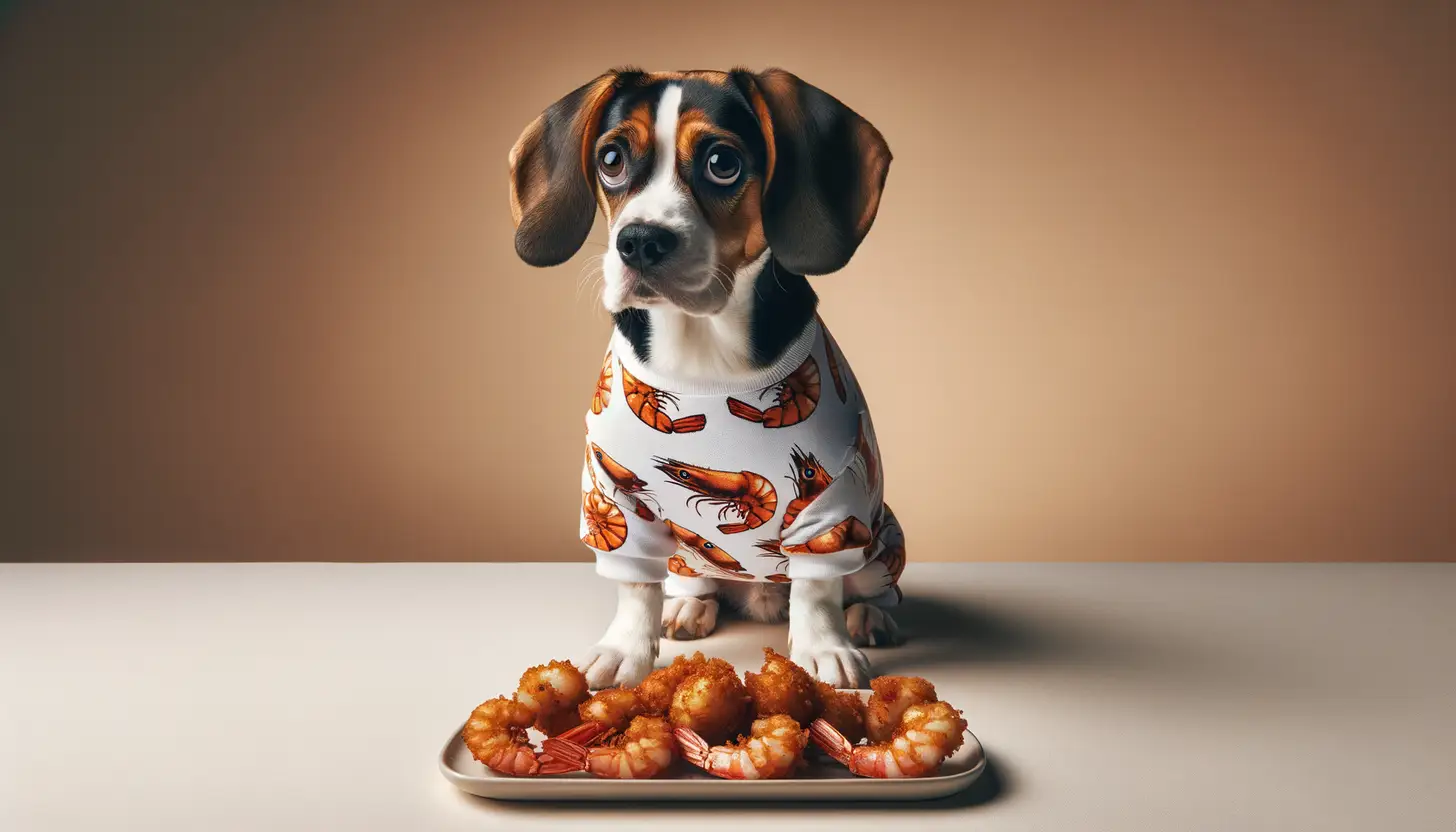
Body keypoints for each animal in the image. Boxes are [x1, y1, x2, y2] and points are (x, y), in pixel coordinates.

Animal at [506, 66, 902, 690]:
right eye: (611, 158)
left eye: (722, 162)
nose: (639, 240)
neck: (701, 356)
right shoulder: (613, 497)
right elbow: (634, 586)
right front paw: (624, 649)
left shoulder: (832, 500)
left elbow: (817, 590)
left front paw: (823, 649)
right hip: (678, 549)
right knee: (687, 575)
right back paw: (690, 604)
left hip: (882, 539)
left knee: (864, 584)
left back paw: (866, 617)